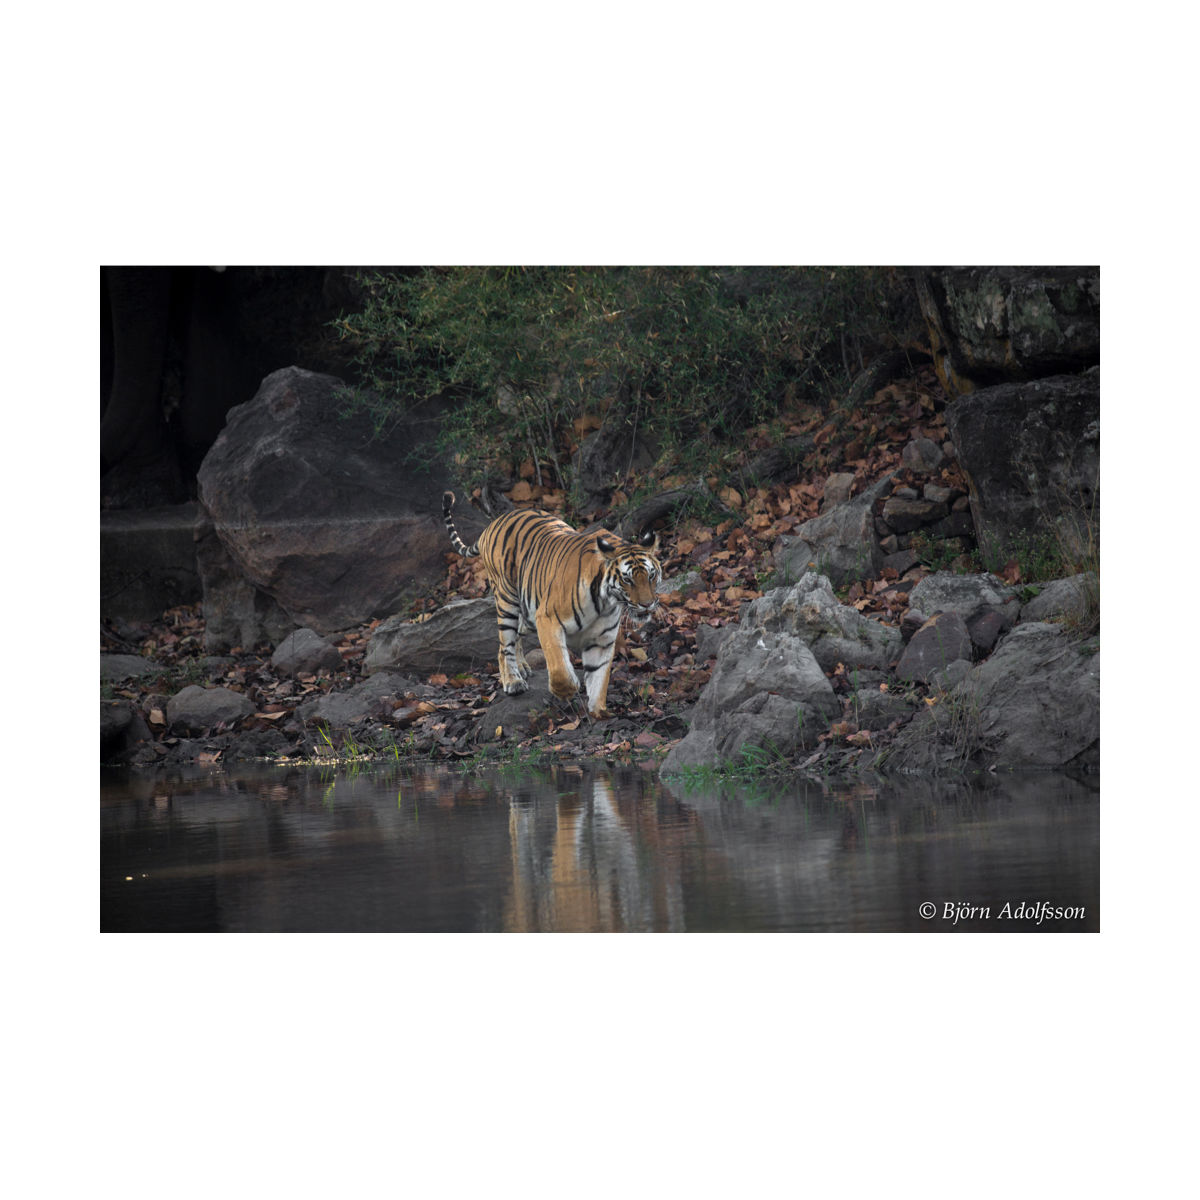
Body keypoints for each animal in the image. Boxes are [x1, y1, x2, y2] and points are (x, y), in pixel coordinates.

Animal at [442, 490, 663, 718]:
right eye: (627, 579)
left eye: (651, 576)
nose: (647, 604)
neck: (605, 602)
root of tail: (492, 525)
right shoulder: (547, 619)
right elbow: (559, 668)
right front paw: (567, 690)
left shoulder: (602, 640)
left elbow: (599, 678)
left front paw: (599, 711)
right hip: (507, 601)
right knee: (505, 645)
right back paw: (513, 681)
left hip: (525, 610)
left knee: (512, 639)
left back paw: (522, 668)